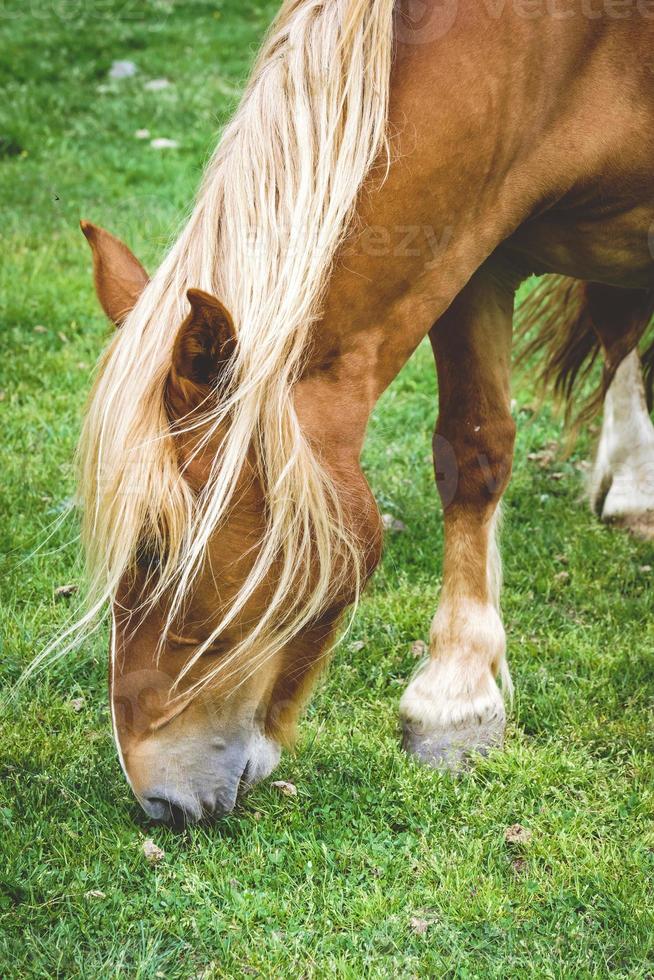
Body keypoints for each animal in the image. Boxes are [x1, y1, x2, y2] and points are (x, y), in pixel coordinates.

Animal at [75, 1, 654, 828]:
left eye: (156, 552)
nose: (157, 802)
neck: (557, 50)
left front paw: (453, 698)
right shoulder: (475, 250)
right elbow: (475, 449)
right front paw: (457, 696)